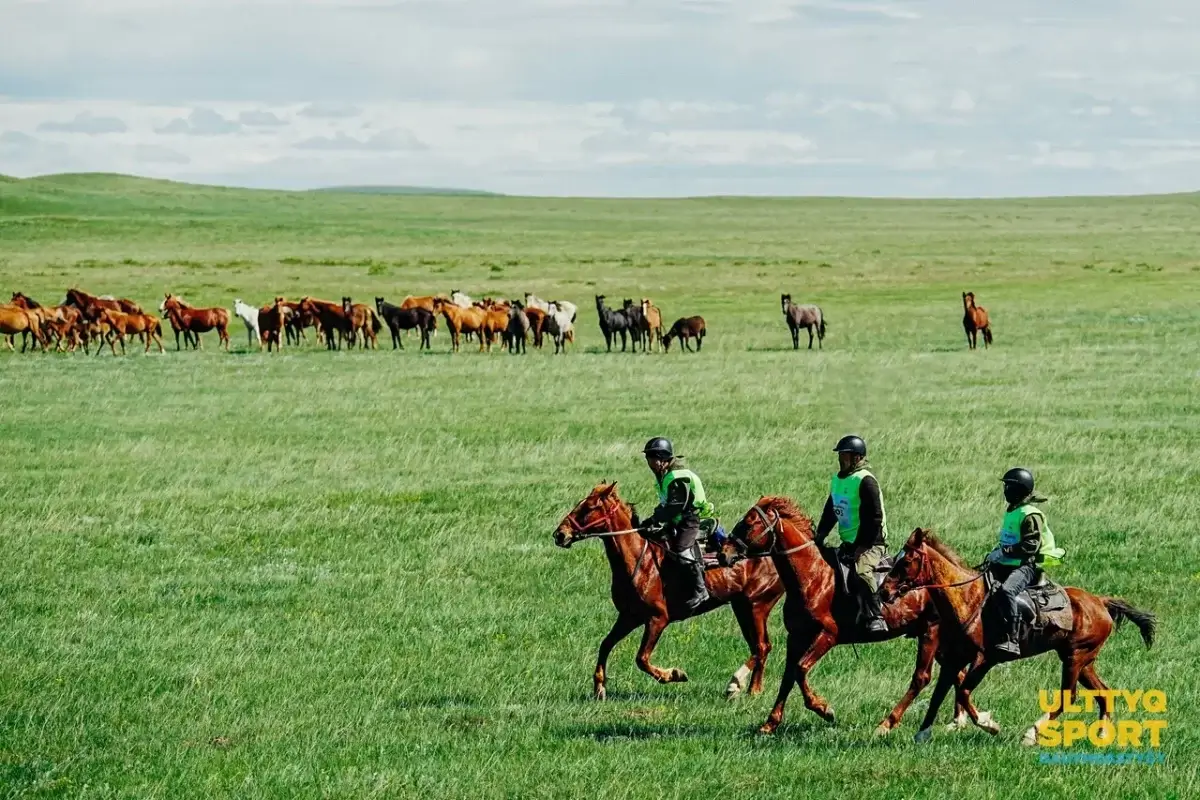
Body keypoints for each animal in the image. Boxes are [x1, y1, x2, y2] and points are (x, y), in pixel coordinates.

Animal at [554, 482, 787, 700]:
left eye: (588, 508)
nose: (560, 534)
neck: (640, 560)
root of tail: (772, 551)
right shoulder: (629, 617)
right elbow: (605, 644)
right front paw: (599, 687)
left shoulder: (658, 619)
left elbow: (641, 659)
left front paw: (673, 674)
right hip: (742, 608)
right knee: (759, 647)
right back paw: (752, 689)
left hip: (757, 606)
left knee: (762, 647)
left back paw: (739, 685)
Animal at [720, 501, 984, 738]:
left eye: (749, 523)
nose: (724, 553)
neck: (812, 576)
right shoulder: (795, 638)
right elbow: (788, 677)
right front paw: (770, 723)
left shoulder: (827, 635)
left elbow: (799, 670)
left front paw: (824, 709)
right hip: (936, 638)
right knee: (956, 674)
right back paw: (963, 720)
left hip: (931, 633)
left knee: (922, 678)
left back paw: (887, 724)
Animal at [883, 527, 1152, 748]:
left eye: (906, 561)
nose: (883, 591)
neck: (968, 599)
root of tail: (1100, 602)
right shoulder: (953, 660)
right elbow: (939, 693)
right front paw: (922, 733)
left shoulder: (984, 659)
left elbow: (963, 693)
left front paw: (988, 723)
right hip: (1083, 661)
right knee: (1104, 693)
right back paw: (1103, 735)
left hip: (1075, 658)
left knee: (1069, 696)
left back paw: (1032, 733)